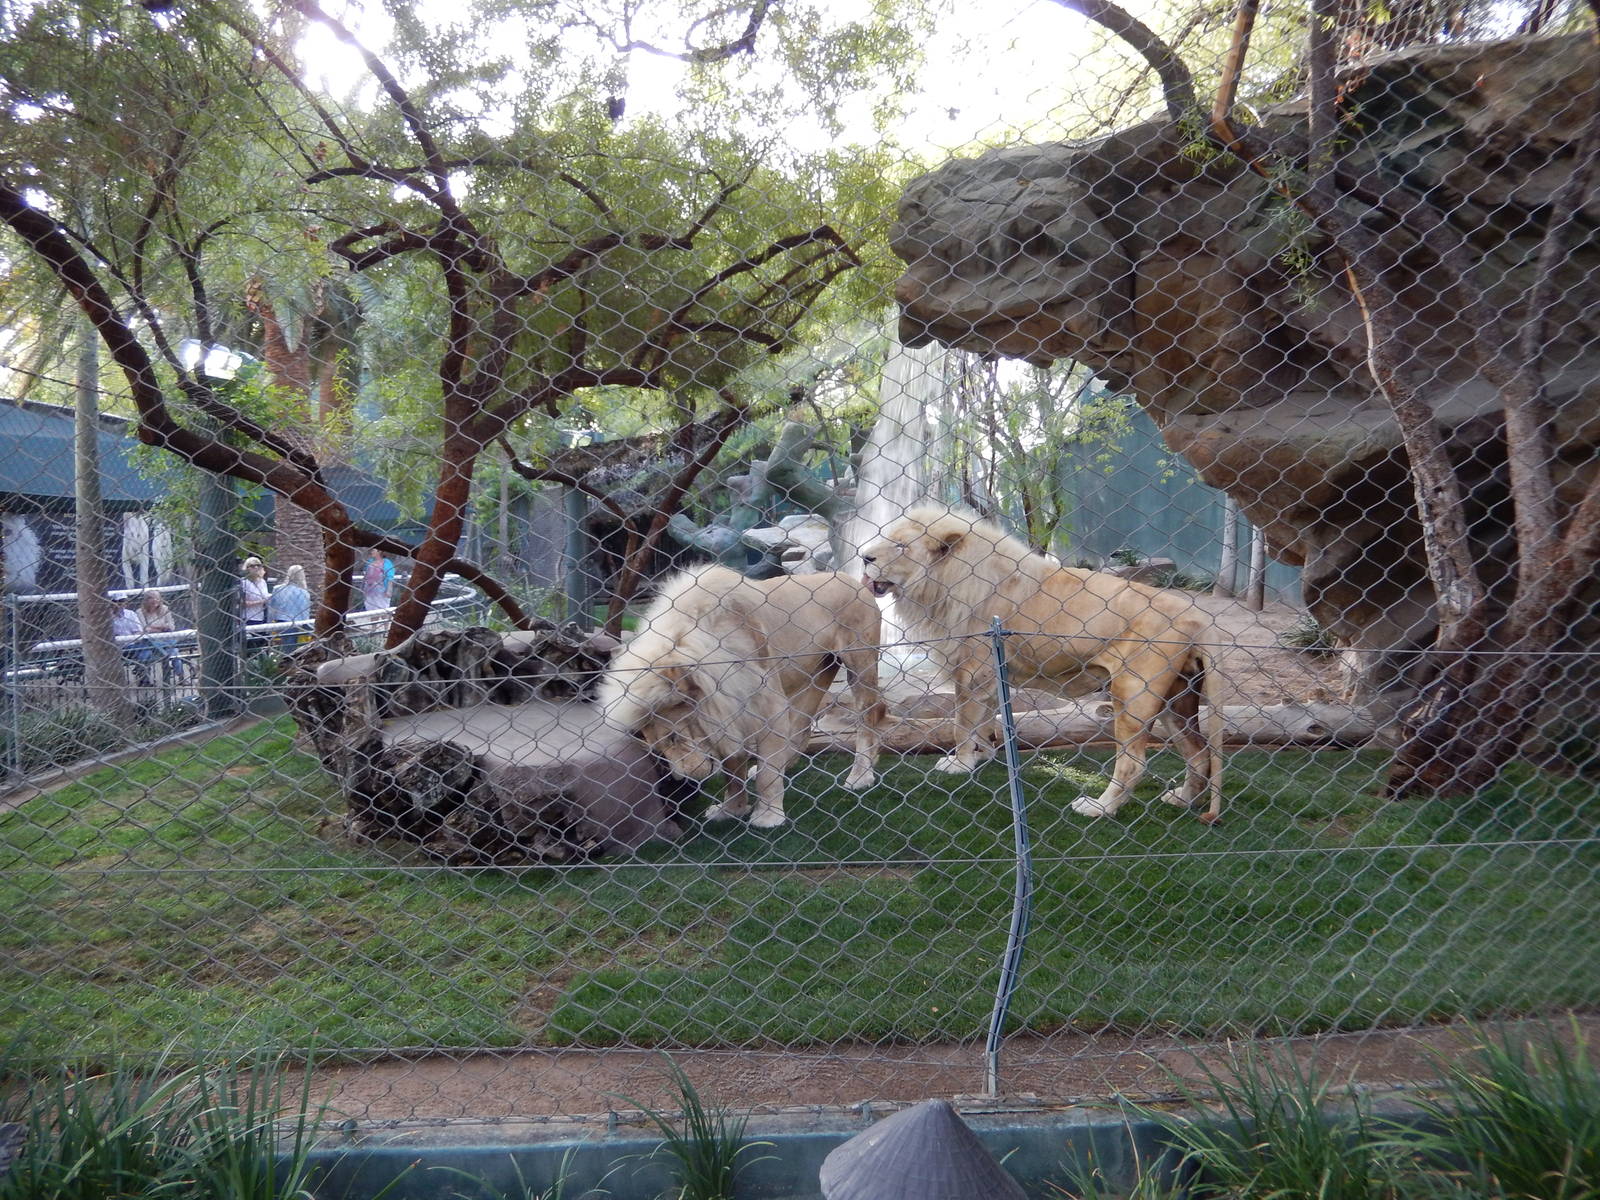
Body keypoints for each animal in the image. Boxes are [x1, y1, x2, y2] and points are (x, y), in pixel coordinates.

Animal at [599, 565, 885, 830]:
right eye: (657, 750)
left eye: (673, 737)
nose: (686, 779)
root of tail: (848, 577)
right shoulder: (729, 712)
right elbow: (732, 769)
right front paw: (730, 810)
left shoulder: (767, 706)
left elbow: (767, 775)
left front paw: (767, 817)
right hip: (816, 672)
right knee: (801, 729)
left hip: (859, 664)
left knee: (867, 717)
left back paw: (861, 776)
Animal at [860, 506, 1224, 822]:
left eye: (901, 546)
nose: (864, 557)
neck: (944, 581)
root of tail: (1194, 617)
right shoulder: (989, 672)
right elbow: (984, 719)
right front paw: (981, 755)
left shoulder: (972, 668)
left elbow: (961, 722)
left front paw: (959, 764)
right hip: (1176, 700)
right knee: (1199, 753)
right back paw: (1182, 800)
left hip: (1133, 695)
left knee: (1134, 763)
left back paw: (1099, 808)